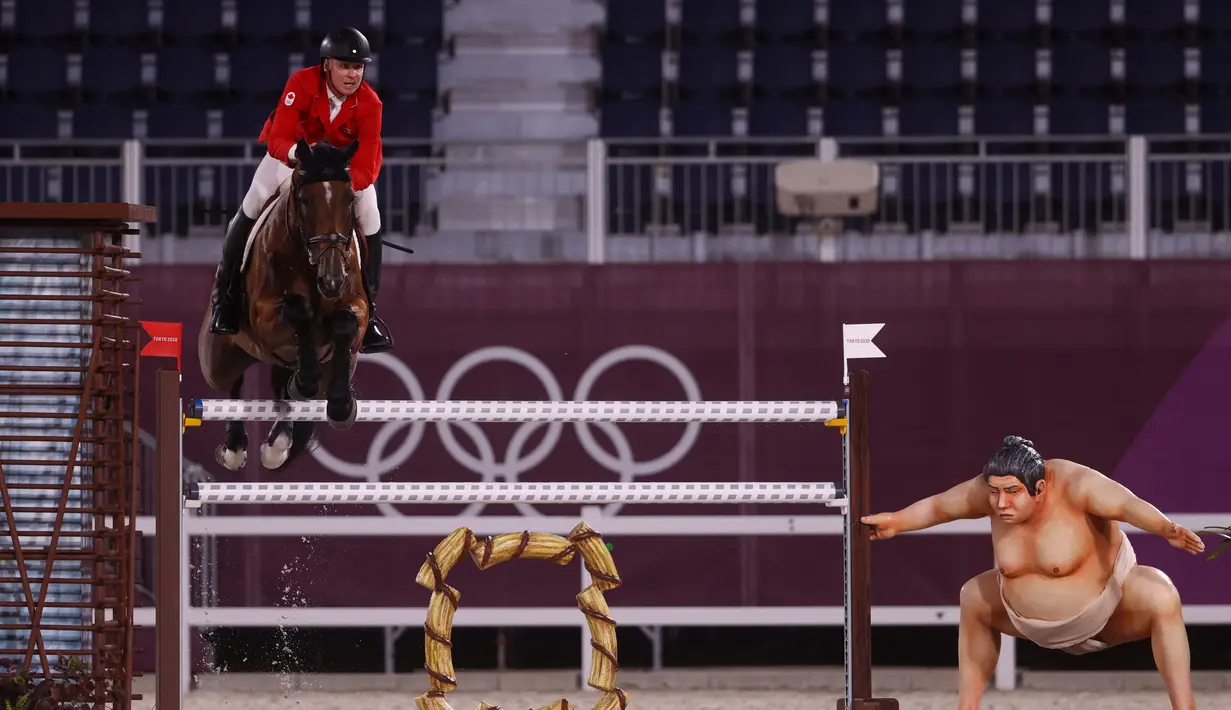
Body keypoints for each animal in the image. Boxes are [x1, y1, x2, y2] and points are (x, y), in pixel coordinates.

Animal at [194, 137, 369, 470]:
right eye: (305, 200)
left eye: (350, 200)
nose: (332, 280)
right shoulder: (264, 315)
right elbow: (299, 310)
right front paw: (306, 380)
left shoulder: (357, 307)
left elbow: (346, 323)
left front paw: (341, 406)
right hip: (218, 361)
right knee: (233, 385)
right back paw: (236, 447)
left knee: (289, 391)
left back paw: (279, 441)